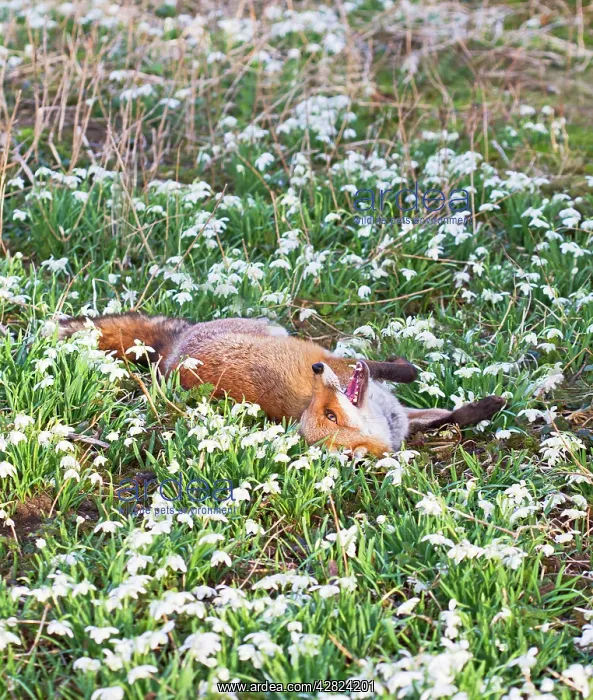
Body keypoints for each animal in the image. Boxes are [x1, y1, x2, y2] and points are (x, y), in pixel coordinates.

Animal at [58, 313, 505, 458]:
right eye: (328, 415)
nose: (317, 370)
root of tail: (170, 353)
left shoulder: (397, 410)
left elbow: (447, 414)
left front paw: (483, 407)